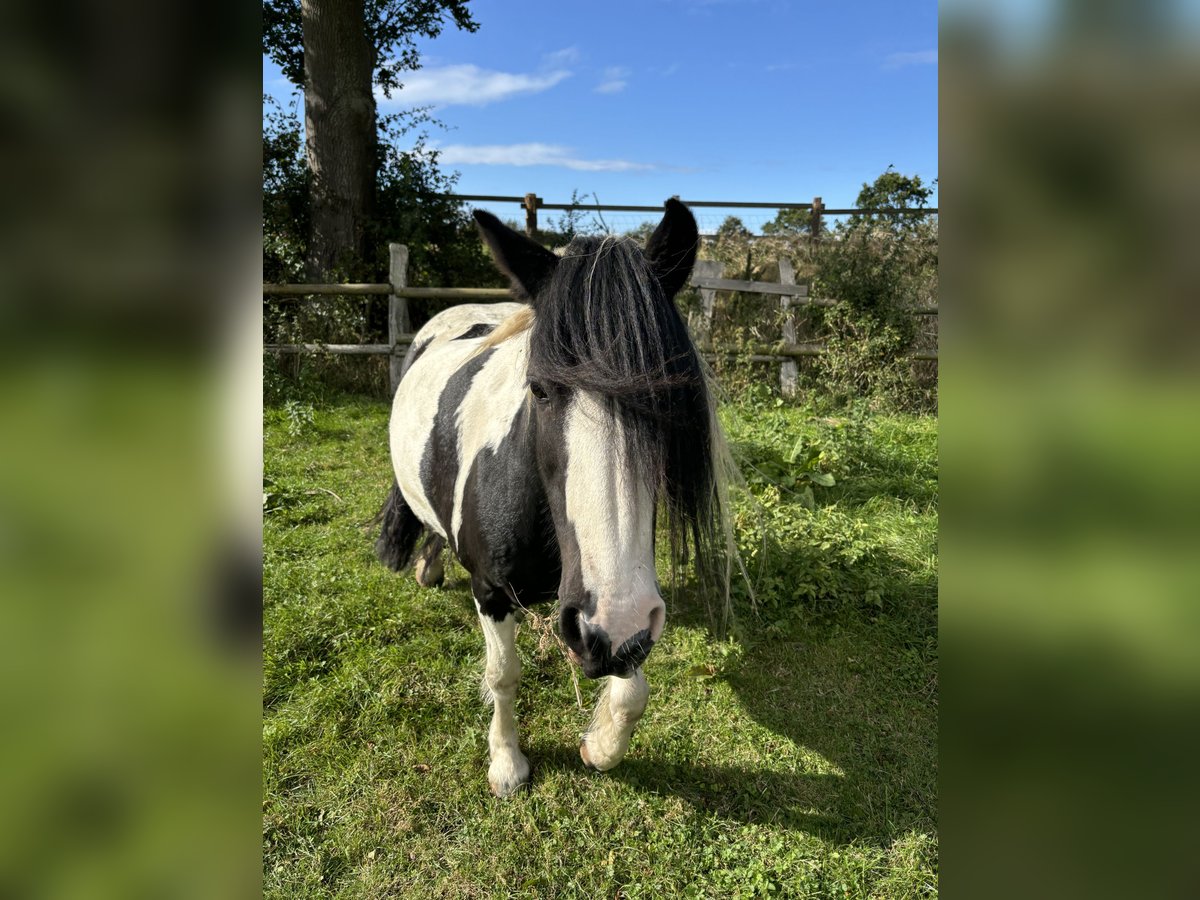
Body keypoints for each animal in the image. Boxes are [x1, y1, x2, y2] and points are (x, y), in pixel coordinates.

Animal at [374, 199, 720, 796]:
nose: (610, 625)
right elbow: (503, 676)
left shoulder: (630, 615)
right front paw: (506, 763)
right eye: (537, 388)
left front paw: (600, 745)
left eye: (667, 395)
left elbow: (633, 692)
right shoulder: (491, 591)